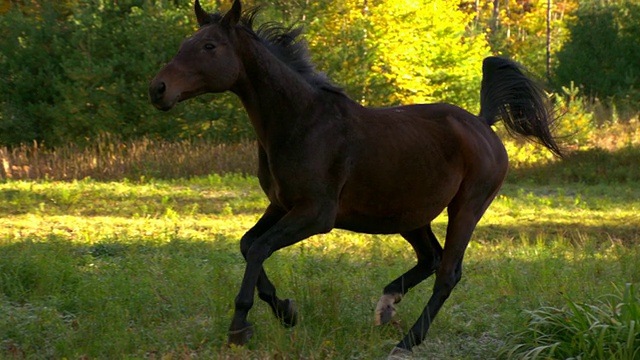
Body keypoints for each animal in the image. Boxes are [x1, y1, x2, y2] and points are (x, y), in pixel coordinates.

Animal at [149, 0, 560, 358]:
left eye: (209, 45)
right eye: (185, 43)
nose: (158, 89)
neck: (301, 122)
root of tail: (482, 122)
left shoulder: (316, 214)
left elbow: (259, 248)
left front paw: (240, 328)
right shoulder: (281, 205)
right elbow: (248, 244)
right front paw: (286, 311)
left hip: (467, 207)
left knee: (447, 273)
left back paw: (406, 342)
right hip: (409, 215)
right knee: (430, 258)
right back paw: (387, 306)